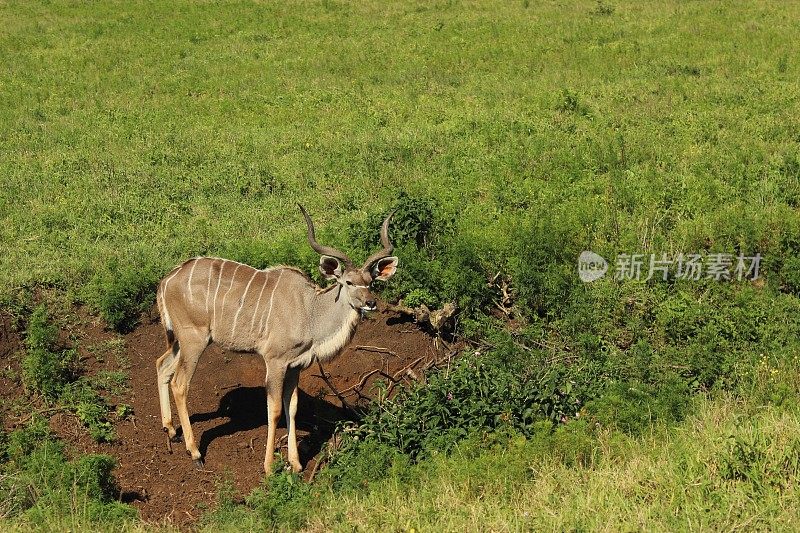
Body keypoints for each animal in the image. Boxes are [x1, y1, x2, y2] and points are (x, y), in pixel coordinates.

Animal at [155, 205, 398, 474]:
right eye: (348, 282)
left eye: (371, 282)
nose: (371, 302)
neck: (309, 310)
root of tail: (166, 281)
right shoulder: (275, 362)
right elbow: (274, 410)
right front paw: (270, 467)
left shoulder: (295, 366)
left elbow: (291, 408)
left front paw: (296, 463)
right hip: (194, 340)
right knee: (180, 384)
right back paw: (195, 452)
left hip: (181, 341)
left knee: (162, 365)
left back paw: (171, 430)